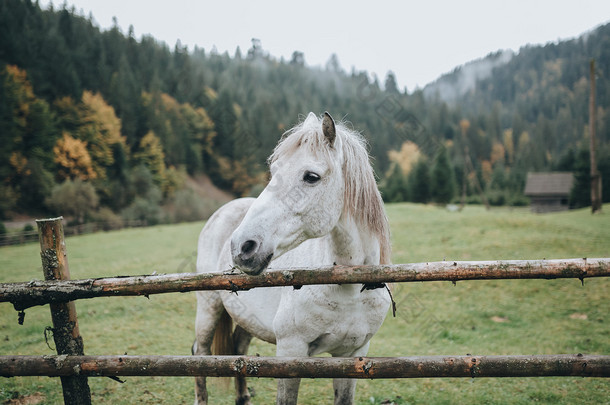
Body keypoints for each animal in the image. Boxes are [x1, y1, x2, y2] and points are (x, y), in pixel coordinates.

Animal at [192, 111, 390, 404]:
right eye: (274, 172)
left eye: (311, 176)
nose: (242, 246)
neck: (348, 287)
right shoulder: (290, 351)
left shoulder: (352, 354)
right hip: (208, 306)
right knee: (200, 354)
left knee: (239, 350)